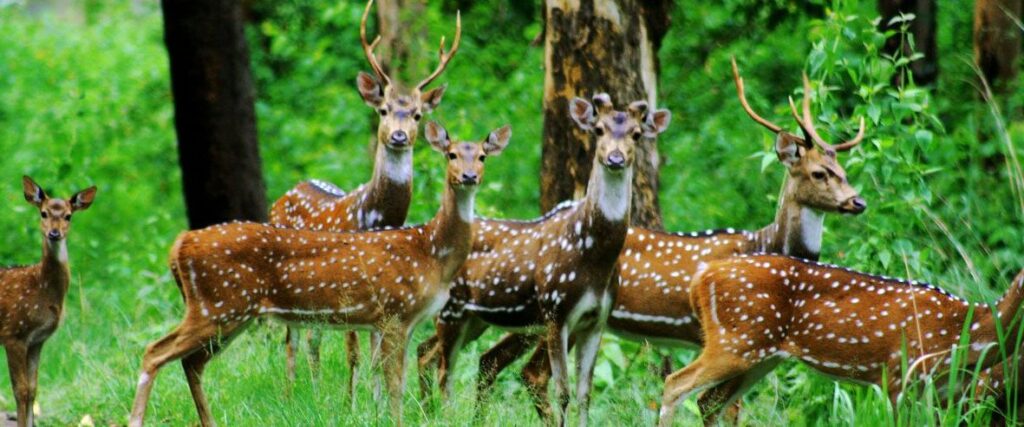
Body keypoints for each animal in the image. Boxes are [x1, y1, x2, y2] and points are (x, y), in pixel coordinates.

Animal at [0, 176, 96, 425]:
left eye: (68, 215)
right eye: (43, 213)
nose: (54, 233)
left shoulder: (37, 340)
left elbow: (33, 389)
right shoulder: (13, 333)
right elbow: (20, 390)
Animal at [130, 120, 509, 425]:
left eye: (482, 157)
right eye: (451, 155)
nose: (469, 177)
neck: (432, 253)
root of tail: (180, 245)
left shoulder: (400, 321)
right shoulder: (393, 312)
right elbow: (394, 386)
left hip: (227, 311)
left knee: (191, 362)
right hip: (219, 304)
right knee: (154, 352)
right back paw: (136, 420)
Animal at [272, 0, 464, 391]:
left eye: (417, 114)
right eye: (383, 110)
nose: (399, 136)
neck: (373, 216)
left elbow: (378, 357)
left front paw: (371, 398)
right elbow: (355, 354)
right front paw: (350, 399)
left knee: (312, 336)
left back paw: (314, 391)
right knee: (292, 338)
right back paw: (289, 392)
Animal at [415, 94, 671, 425]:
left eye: (636, 134)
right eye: (598, 129)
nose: (615, 159)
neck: (595, 259)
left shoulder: (596, 320)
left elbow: (585, 395)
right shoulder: (556, 311)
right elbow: (562, 391)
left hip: (477, 319)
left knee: (434, 353)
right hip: (453, 309)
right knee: (443, 366)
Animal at [655, 254, 1024, 423]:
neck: (968, 332)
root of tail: (702, 277)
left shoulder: (945, 393)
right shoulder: (900, 375)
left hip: (760, 354)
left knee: (710, 402)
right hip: (736, 342)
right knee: (675, 383)